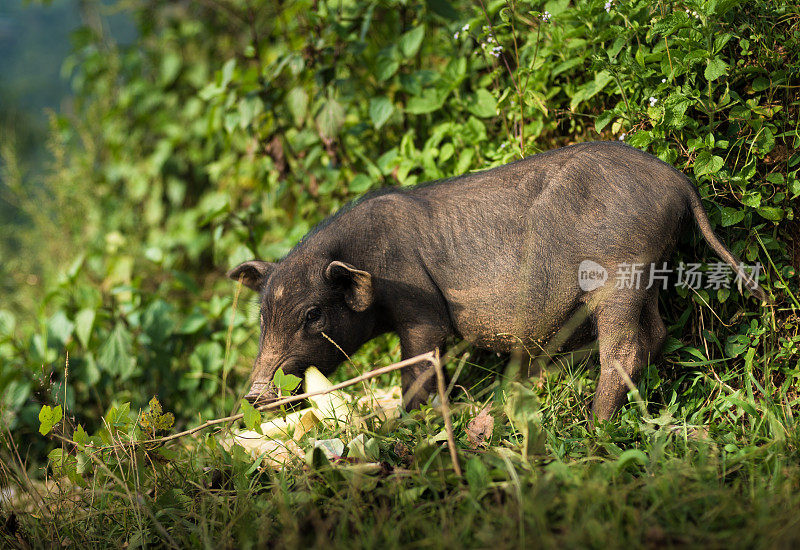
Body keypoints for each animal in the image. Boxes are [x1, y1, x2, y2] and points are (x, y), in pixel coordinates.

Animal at [228, 140, 764, 420]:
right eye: (263, 316)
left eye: (312, 314)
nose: (254, 394)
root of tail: (678, 181)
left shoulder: (421, 308)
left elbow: (419, 362)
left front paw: (403, 421)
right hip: (646, 272)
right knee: (655, 332)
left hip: (616, 276)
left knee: (625, 347)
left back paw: (596, 424)